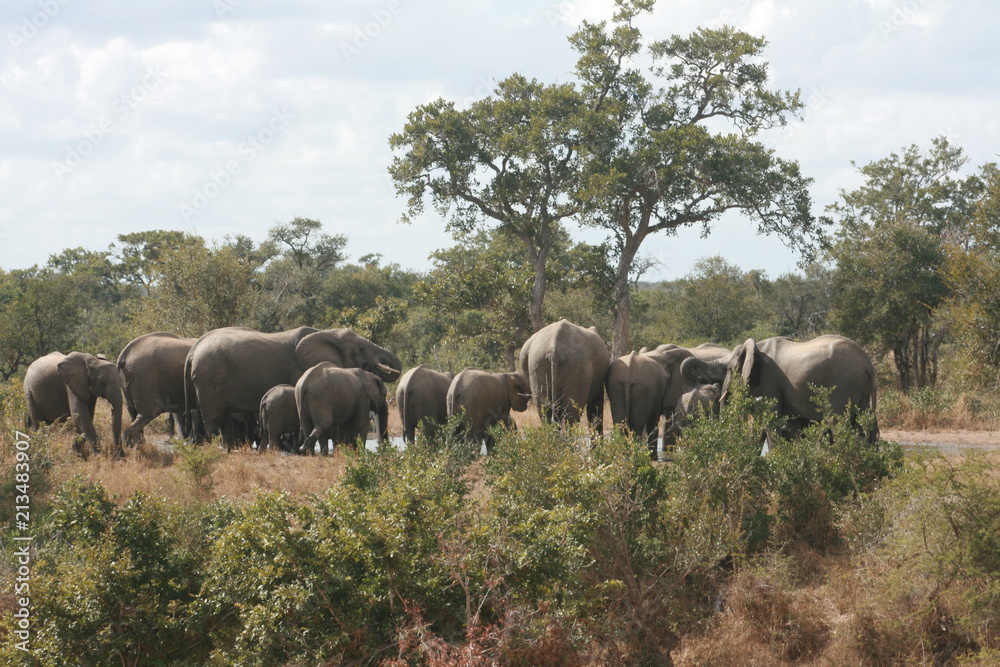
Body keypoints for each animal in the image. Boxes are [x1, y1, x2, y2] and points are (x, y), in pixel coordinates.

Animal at [184, 326, 401, 448]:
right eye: (361, 349)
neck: (326, 333)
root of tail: (193, 350)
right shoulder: (300, 369)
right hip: (210, 378)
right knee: (213, 419)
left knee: (224, 420)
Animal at [681, 335, 879, 442]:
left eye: (728, 369)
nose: (700, 380)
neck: (756, 346)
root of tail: (867, 363)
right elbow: (789, 426)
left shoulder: (770, 381)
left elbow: (771, 421)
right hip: (860, 388)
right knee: (864, 426)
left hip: (843, 386)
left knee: (840, 425)